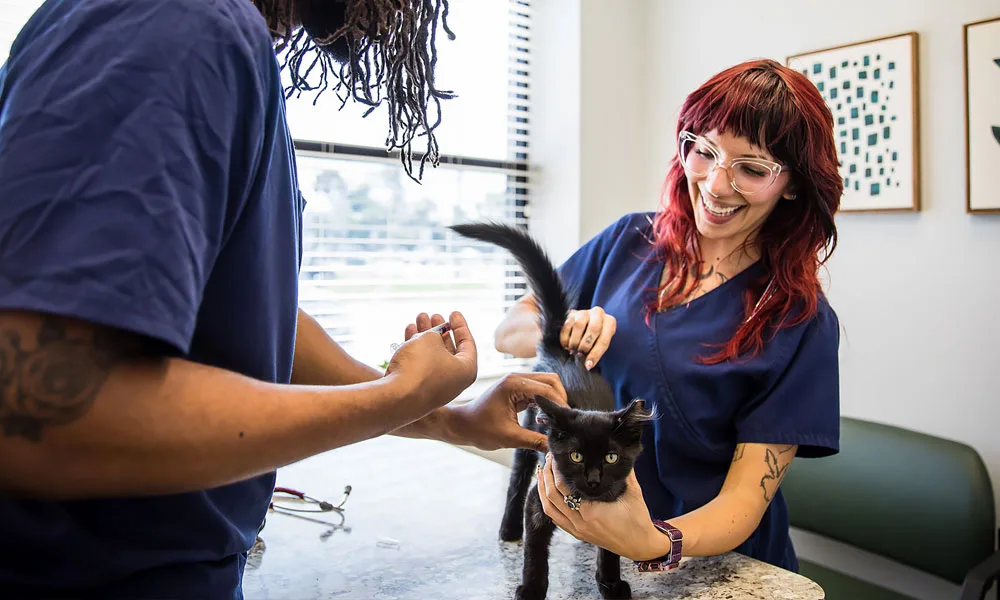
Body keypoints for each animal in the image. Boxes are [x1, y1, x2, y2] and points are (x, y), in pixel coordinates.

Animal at [450, 223, 652, 596]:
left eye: (611, 458)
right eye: (575, 455)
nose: (593, 479)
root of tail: (559, 350)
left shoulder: (616, 509)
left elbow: (612, 547)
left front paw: (610, 582)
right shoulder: (539, 501)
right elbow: (535, 553)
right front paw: (531, 589)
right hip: (527, 436)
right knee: (516, 482)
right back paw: (508, 530)